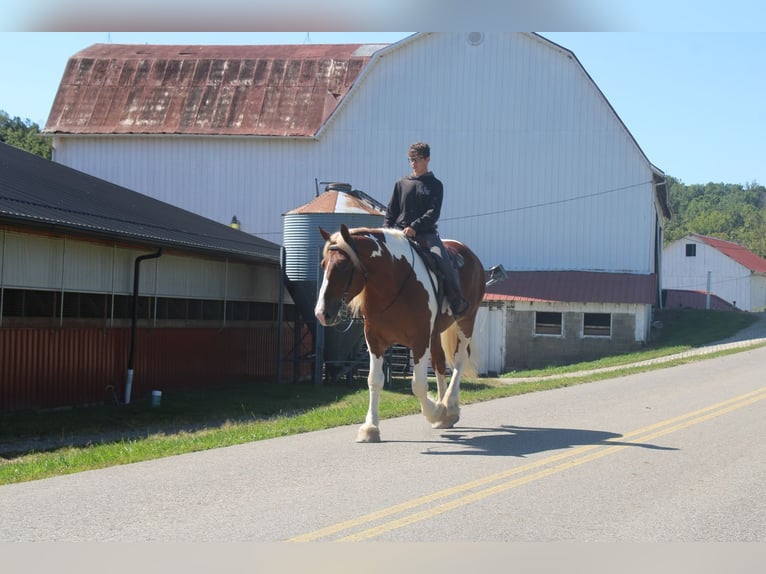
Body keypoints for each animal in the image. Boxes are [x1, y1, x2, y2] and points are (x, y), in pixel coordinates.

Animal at [314, 224, 486, 443]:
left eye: (343, 265)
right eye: (323, 264)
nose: (321, 313)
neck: (395, 282)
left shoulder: (420, 341)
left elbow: (418, 384)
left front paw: (435, 411)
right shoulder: (375, 341)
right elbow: (374, 380)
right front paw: (370, 428)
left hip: (466, 321)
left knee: (458, 360)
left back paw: (450, 406)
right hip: (436, 333)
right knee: (439, 363)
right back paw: (445, 414)